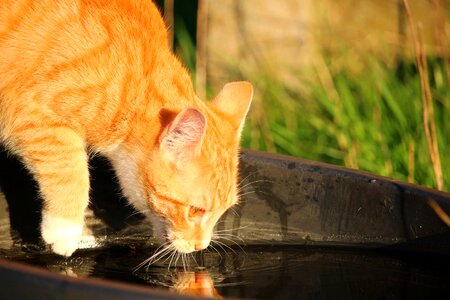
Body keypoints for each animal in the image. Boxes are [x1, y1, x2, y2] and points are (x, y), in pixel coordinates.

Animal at [0, 1, 253, 256]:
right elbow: (70, 168)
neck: (130, 86)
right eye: (195, 210)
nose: (201, 245)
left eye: (222, 211)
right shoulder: (33, 112)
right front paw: (66, 229)